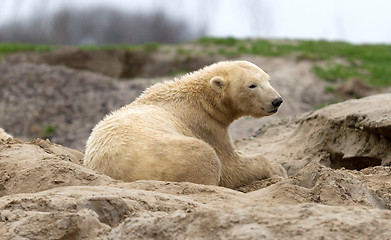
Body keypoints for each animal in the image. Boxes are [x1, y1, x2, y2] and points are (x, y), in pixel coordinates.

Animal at [84, 61, 286, 188]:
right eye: (252, 85)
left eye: (267, 79)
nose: (277, 101)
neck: (200, 100)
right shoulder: (206, 126)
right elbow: (232, 167)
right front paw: (279, 169)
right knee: (206, 157)